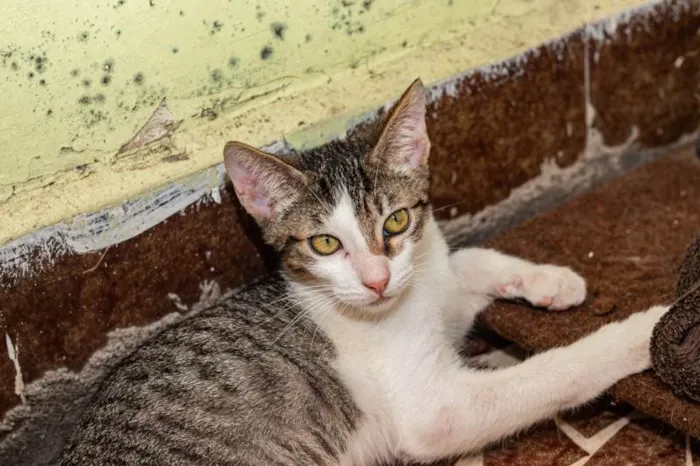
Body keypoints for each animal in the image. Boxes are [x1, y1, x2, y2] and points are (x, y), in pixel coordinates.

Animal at [58, 79, 668, 466]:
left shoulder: (427, 275)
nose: (376, 279)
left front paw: (550, 280)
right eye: (325, 243)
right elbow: (556, 371)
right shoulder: (436, 411)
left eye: (396, 221)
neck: (403, 301)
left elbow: (466, 260)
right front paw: (641, 332)